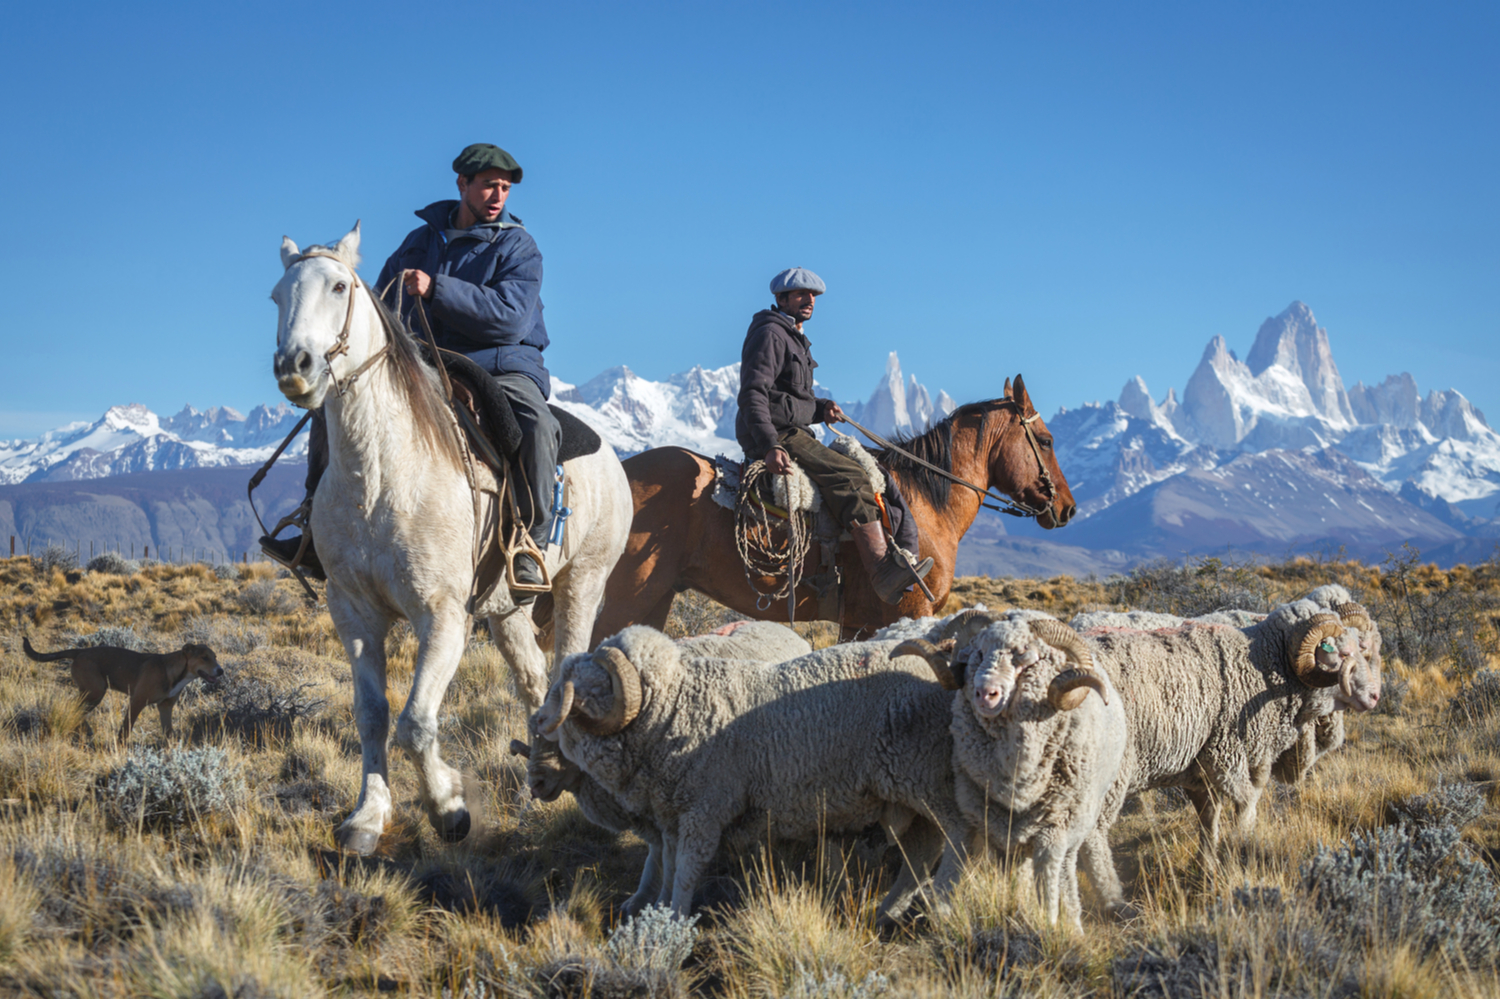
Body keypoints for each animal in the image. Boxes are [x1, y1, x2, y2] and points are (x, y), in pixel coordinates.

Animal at [23, 638, 223, 740]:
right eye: (204, 658)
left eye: (215, 657)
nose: (221, 671)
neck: (176, 673)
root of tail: (79, 651)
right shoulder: (137, 701)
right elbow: (126, 729)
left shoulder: (165, 707)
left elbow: (168, 732)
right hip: (95, 692)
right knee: (74, 708)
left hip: (92, 693)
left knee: (76, 710)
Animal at [273, 224, 630, 851]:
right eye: (276, 296)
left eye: (339, 286)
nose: (296, 365)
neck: (382, 476)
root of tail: (612, 454)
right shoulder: (354, 612)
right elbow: (373, 715)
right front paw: (366, 818)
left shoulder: (442, 615)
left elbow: (416, 723)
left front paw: (449, 808)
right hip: (507, 607)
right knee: (535, 683)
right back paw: (540, 776)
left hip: (582, 584)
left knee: (567, 672)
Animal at [534, 626, 966, 923]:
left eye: (579, 689)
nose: (538, 720)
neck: (674, 706)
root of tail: (938, 674)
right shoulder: (673, 816)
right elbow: (669, 865)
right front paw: (657, 910)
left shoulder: (704, 812)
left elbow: (687, 871)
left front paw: (673, 921)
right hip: (907, 791)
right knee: (922, 850)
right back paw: (887, 912)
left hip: (926, 778)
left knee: (960, 836)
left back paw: (942, 905)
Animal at [582, 374, 1068, 641]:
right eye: (1045, 440)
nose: (1067, 507)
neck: (926, 503)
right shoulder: (910, 613)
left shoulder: (857, 624)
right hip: (628, 595)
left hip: (657, 597)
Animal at [888, 611, 1128, 929]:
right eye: (978, 653)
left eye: (1026, 657)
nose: (984, 693)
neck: (1016, 779)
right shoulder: (993, 827)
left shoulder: (1054, 831)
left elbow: (1048, 882)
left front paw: (1050, 925)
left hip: (1077, 822)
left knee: (1066, 868)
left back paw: (1073, 919)